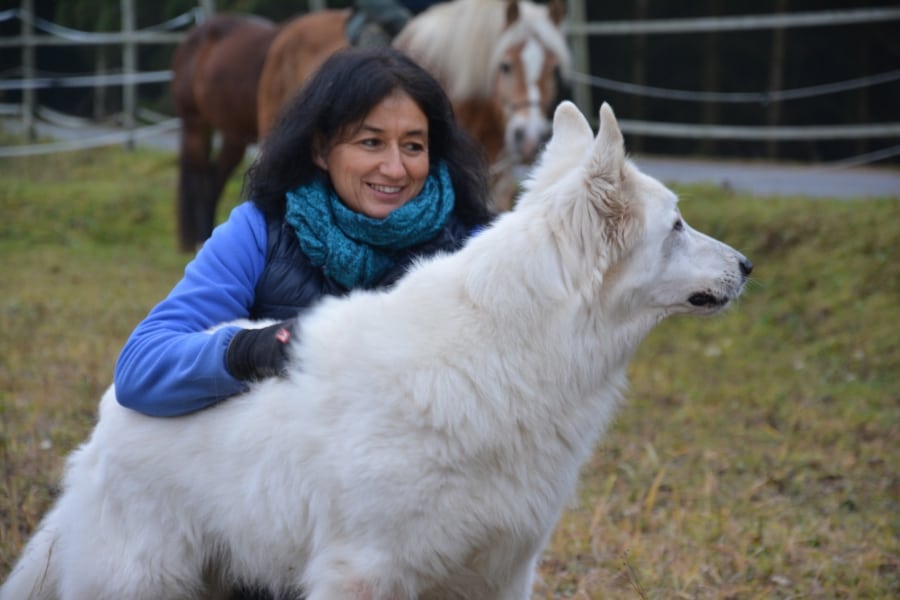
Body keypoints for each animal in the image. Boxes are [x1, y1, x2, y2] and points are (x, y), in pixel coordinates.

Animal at [1, 101, 752, 596]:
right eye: (677, 226)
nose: (747, 266)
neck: (508, 349)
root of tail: (111, 409)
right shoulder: (364, 570)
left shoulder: (499, 570)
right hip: (145, 580)